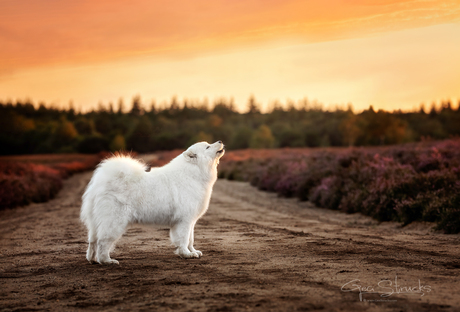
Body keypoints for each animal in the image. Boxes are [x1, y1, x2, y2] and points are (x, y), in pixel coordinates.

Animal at [80, 140, 225, 264]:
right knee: (102, 242)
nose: (220, 141)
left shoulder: (191, 221)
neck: (194, 173)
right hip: (115, 221)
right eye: (207, 147)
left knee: (92, 241)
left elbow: (190, 239)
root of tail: (101, 183)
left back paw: (92, 259)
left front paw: (193, 251)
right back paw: (107, 261)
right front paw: (186, 254)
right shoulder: (184, 220)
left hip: (96, 222)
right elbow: (184, 239)